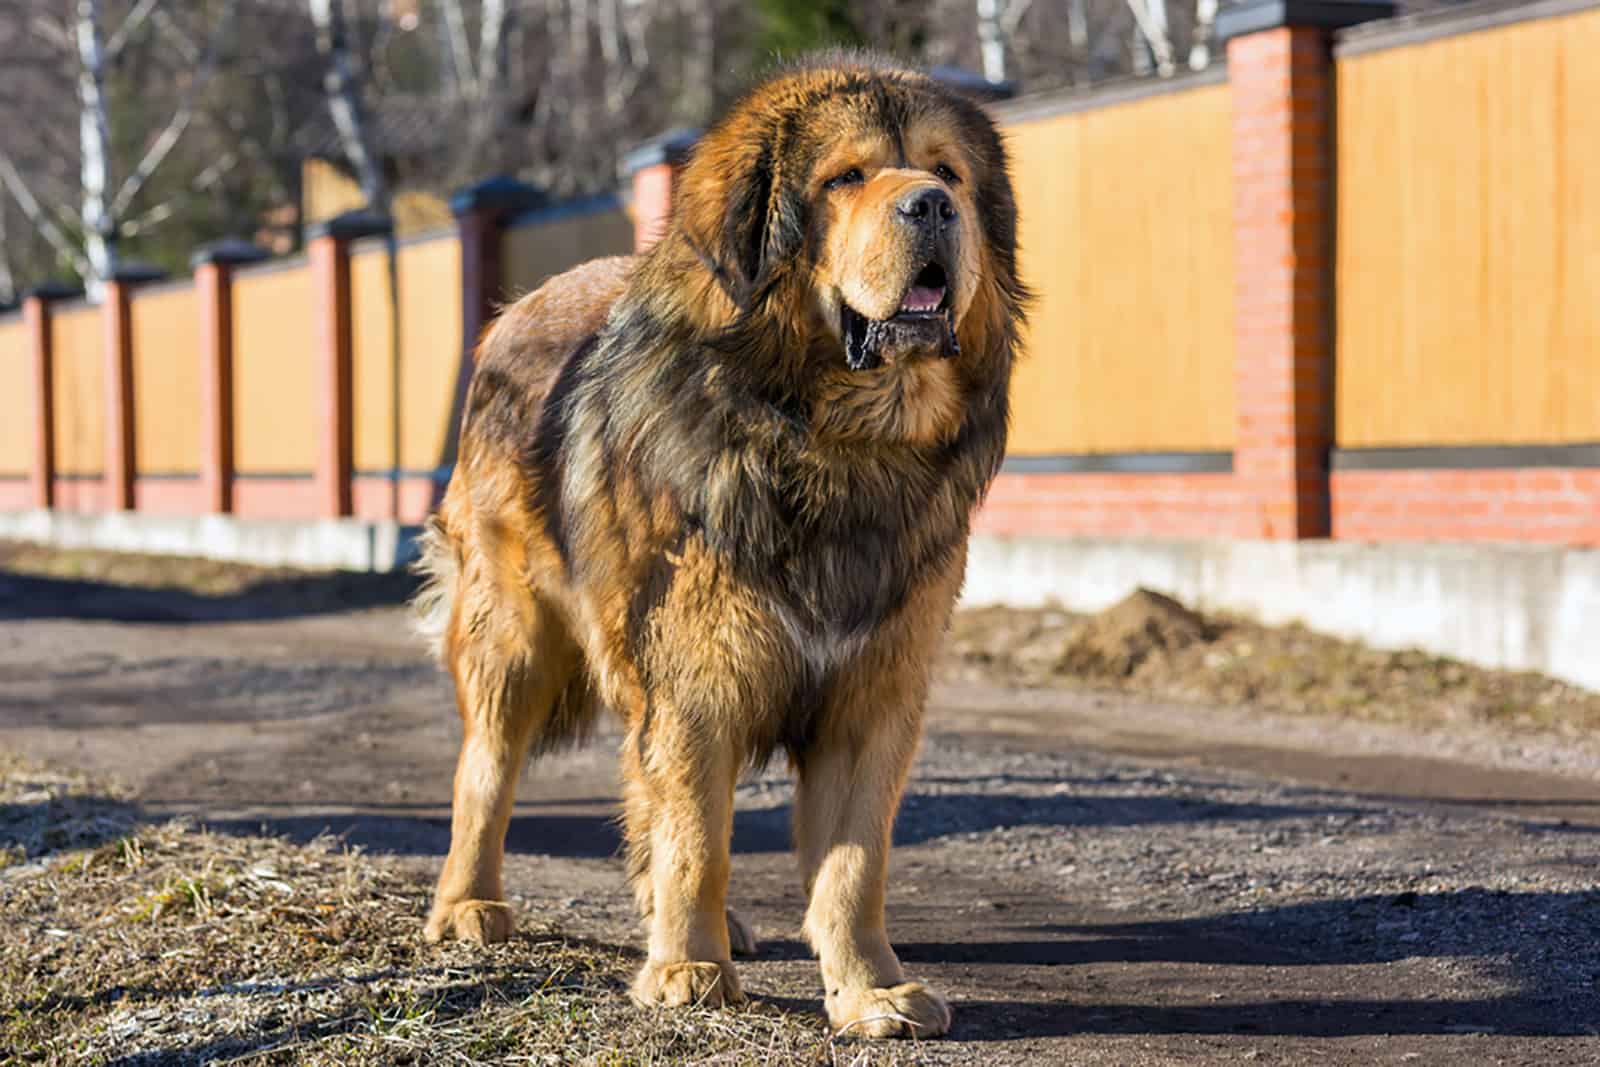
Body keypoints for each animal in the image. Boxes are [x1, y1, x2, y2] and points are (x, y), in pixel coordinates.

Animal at [416, 54, 1024, 1036]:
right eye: (846, 178)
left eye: (949, 172)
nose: (932, 205)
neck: (837, 447)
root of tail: (515, 310)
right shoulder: (699, 677)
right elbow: (698, 834)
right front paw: (688, 968)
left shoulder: (874, 695)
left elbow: (853, 863)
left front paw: (868, 987)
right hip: (512, 636)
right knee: (487, 770)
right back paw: (469, 904)